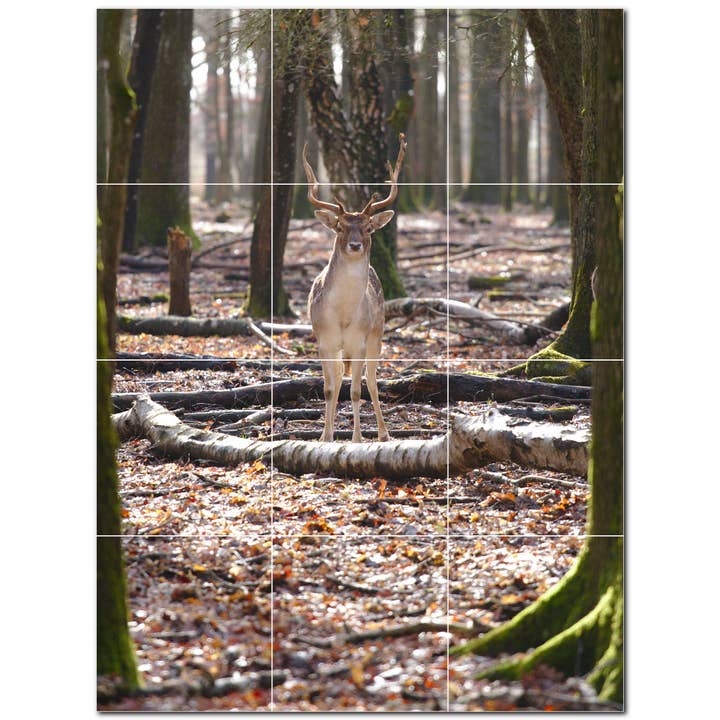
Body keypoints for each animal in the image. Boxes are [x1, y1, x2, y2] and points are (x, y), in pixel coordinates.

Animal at [302, 134, 407, 443]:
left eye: (368, 228)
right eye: (339, 227)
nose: (355, 244)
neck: (343, 315)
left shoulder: (360, 341)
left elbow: (357, 390)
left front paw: (358, 438)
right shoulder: (323, 339)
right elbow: (329, 388)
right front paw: (326, 437)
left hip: (378, 333)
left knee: (372, 381)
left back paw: (383, 433)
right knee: (338, 379)